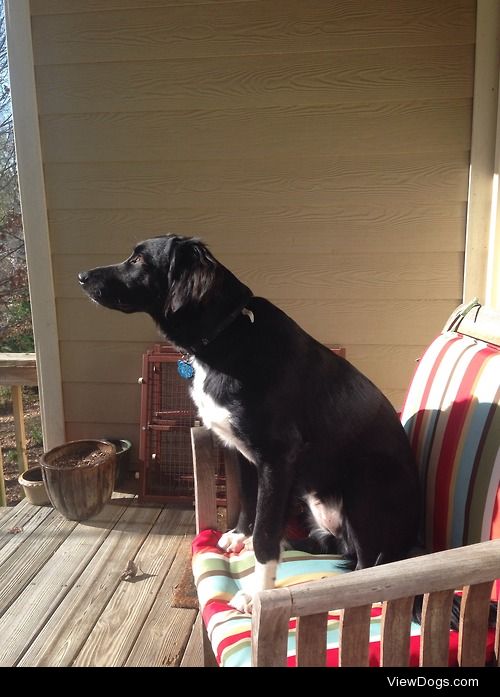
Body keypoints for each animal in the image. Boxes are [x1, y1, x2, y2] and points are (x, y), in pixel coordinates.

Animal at [79, 234, 422, 608]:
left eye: (140, 260)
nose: (81, 277)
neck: (225, 334)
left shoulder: (277, 457)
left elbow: (265, 532)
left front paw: (258, 592)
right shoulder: (240, 451)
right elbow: (248, 501)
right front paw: (238, 536)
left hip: (366, 479)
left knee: (367, 563)